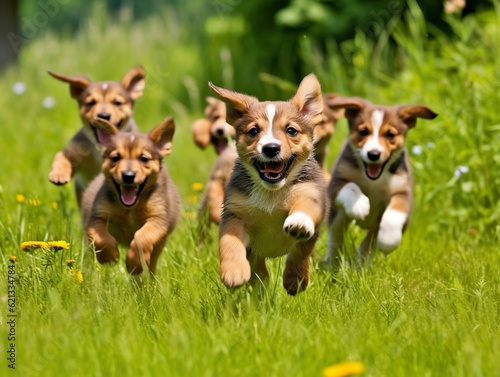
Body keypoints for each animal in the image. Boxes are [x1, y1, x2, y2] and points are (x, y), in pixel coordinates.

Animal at [48, 64, 146, 206]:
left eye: (117, 103)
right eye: (91, 103)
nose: (103, 116)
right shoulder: (74, 151)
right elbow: (61, 156)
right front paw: (58, 174)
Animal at [82, 117, 182, 274]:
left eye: (144, 159)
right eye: (115, 157)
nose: (128, 176)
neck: (130, 208)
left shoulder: (158, 219)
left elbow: (142, 237)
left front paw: (135, 263)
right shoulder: (96, 217)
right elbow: (102, 238)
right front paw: (109, 257)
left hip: (159, 246)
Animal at [208, 73, 328, 296]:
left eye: (291, 130)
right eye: (254, 131)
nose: (271, 148)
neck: (272, 192)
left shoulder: (311, 193)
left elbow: (302, 228)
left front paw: (299, 223)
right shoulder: (233, 213)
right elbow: (230, 242)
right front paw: (233, 271)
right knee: (259, 272)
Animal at [322, 97, 436, 268]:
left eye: (390, 135)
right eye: (363, 132)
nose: (374, 154)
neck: (374, 181)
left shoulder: (403, 192)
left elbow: (394, 212)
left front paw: (389, 239)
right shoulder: (335, 183)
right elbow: (351, 186)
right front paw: (359, 205)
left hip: (374, 228)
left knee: (368, 245)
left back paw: (360, 266)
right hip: (338, 216)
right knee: (336, 239)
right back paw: (332, 263)